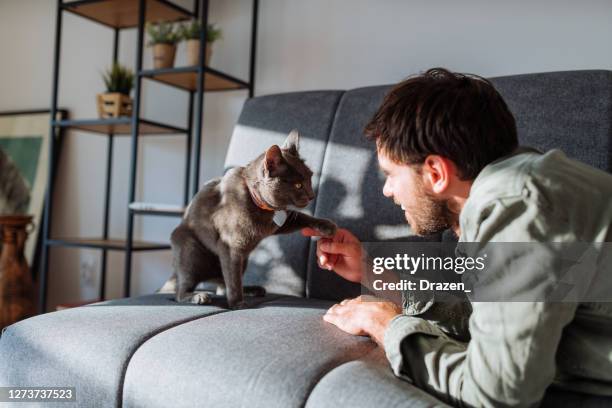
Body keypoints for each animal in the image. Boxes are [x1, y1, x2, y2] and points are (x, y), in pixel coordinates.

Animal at [163, 131, 334, 310]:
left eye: (310, 178)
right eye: (298, 185)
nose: (312, 195)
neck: (262, 207)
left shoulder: (281, 223)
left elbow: (301, 217)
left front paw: (327, 226)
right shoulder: (230, 247)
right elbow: (233, 279)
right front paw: (238, 304)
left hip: (243, 260)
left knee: (222, 285)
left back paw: (252, 289)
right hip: (190, 250)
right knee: (183, 291)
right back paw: (198, 296)